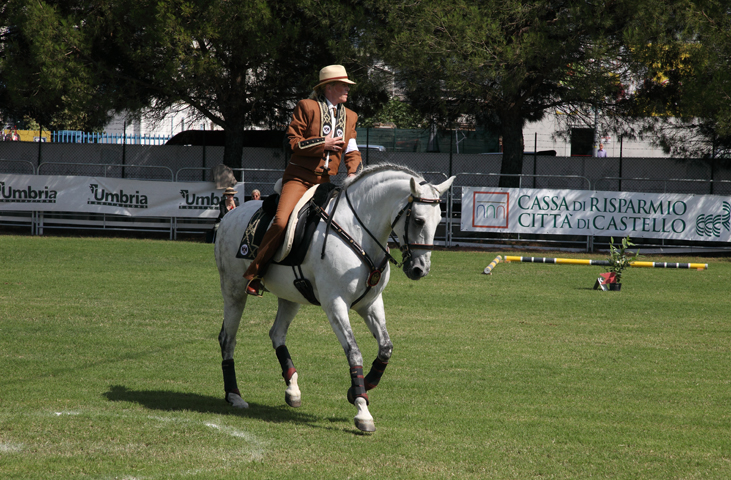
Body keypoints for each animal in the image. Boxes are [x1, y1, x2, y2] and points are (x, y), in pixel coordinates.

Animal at [213, 163, 452, 434]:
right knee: (228, 339)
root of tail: (230, 215)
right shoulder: (335, 304)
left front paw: (360, 388)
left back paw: (292, 389)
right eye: (419, 220)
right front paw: (362, 409)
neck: (359, 232)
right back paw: (234, 394)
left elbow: (386, 348)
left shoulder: (371, 303)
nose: (420, 269)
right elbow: (354, 352)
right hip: (234, 291)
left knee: (277, 334)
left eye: (439, 220)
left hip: (290, 296)